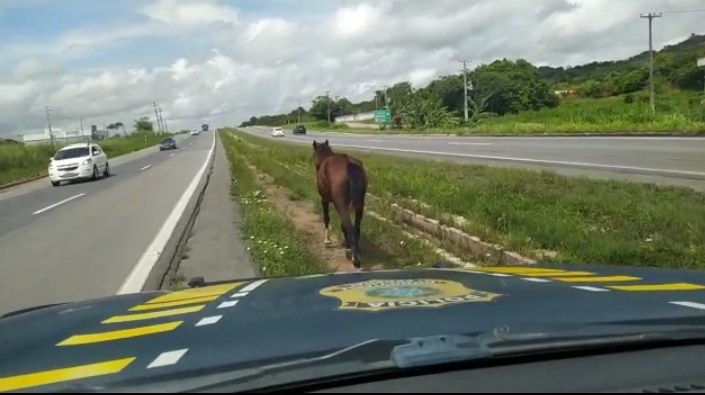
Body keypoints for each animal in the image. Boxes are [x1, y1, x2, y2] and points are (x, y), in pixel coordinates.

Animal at [314, 138, 368, 270]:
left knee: (349, 226)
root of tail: (350, 166)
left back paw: (355, 260)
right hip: (359, 205)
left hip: (342, 205)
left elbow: (326, 218)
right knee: (356, 226)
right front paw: (347, 244)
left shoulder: (324, 199)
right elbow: (343, 226)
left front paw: (327, 240)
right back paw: (356, 250)